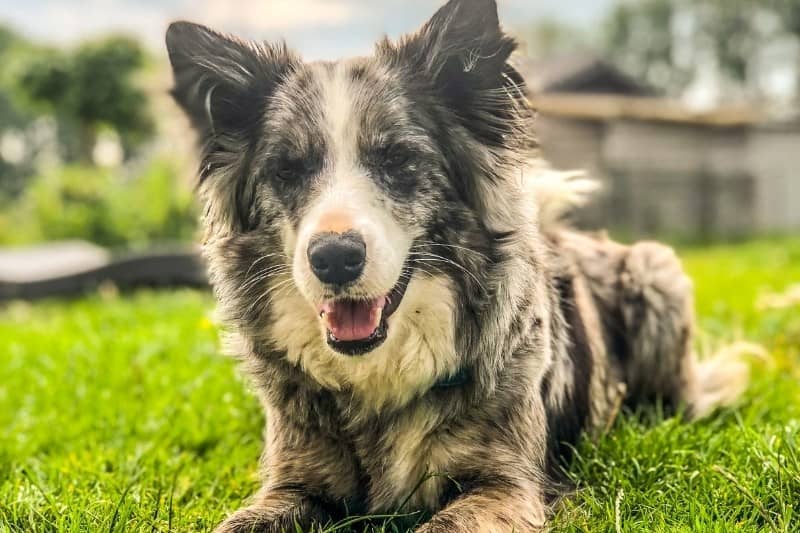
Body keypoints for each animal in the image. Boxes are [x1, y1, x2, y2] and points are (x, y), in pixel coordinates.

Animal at [164, 2, 752, 528]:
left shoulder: (504, 484)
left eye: (398, 159)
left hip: (657, 270)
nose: (333, 258)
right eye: (287, 170)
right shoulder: (292, 484)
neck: (381, 376)